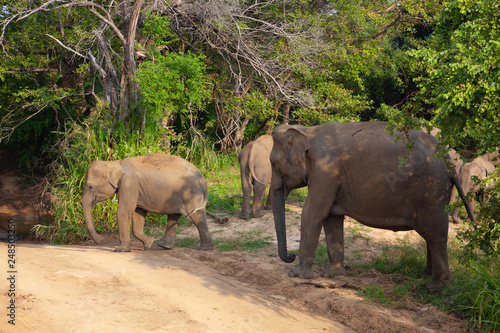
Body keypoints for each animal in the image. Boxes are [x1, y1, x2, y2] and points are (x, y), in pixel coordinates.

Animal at [81, 153, 213, 252]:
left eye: (90, 187)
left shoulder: (129, 185)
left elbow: (124, 211)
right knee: (173, 216)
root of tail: (202, 177)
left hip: (190, 194)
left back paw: (204, 249)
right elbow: (138, 213)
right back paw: (164, 246)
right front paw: (149, 243)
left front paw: (120, 250)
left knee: (196, 217)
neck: (115, 163)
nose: (100, 240)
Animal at [270, 120, 472, 290]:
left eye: (272, 163)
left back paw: (435, 286)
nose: (291, 256)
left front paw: (297, 274)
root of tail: (447, 159)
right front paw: (333, 275)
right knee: (431, 235)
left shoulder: (326, 170)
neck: (308, 130)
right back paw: (425, 276)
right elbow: (332, 218)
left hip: (432, 192)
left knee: (436, 234)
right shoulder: (329, 176)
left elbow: (313, 213)